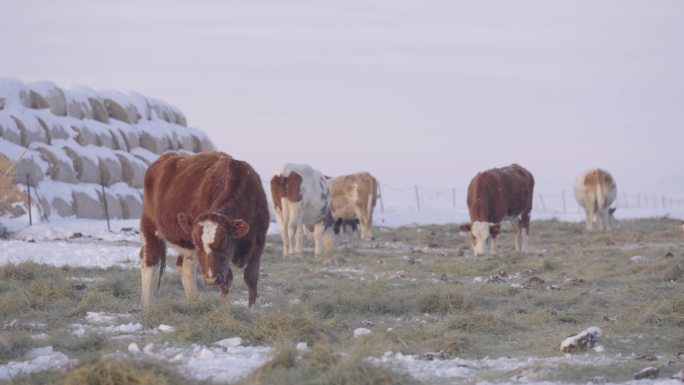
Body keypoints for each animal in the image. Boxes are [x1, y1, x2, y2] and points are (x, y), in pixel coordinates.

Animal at [138, 152, 268, 308]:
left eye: (223, 239)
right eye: (197, 243)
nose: (211, 279)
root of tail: (166, 157)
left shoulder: (259, 243)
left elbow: (251, 278)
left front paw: (252, 308)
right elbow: (227, 279)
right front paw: (224, 308)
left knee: (185, 267)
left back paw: (194, 301)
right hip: (150, 226)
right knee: (149, 260)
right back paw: (146, 303)